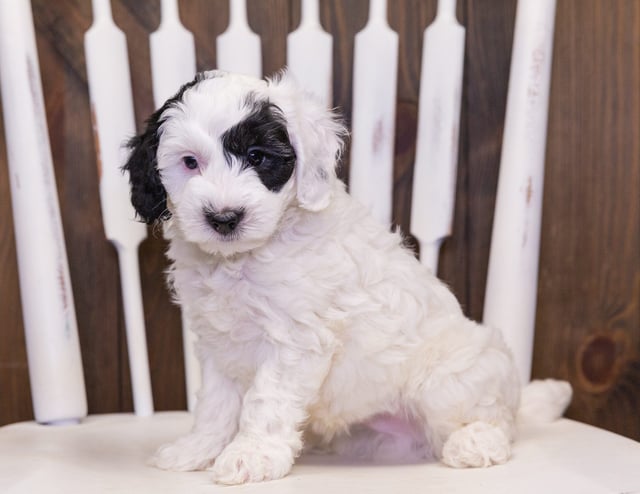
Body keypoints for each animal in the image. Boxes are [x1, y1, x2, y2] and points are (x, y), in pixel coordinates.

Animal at [124, 71, 568, 484]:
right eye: (189, 163)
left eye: (257, 156)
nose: (224, 218)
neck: (241, 259)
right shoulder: (218, 345)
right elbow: (215, 404)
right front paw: (197, 449)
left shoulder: (296, 339)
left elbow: (266, 400)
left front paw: (252, 454)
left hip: (449, 382)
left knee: (494, 420)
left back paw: (476, 441)